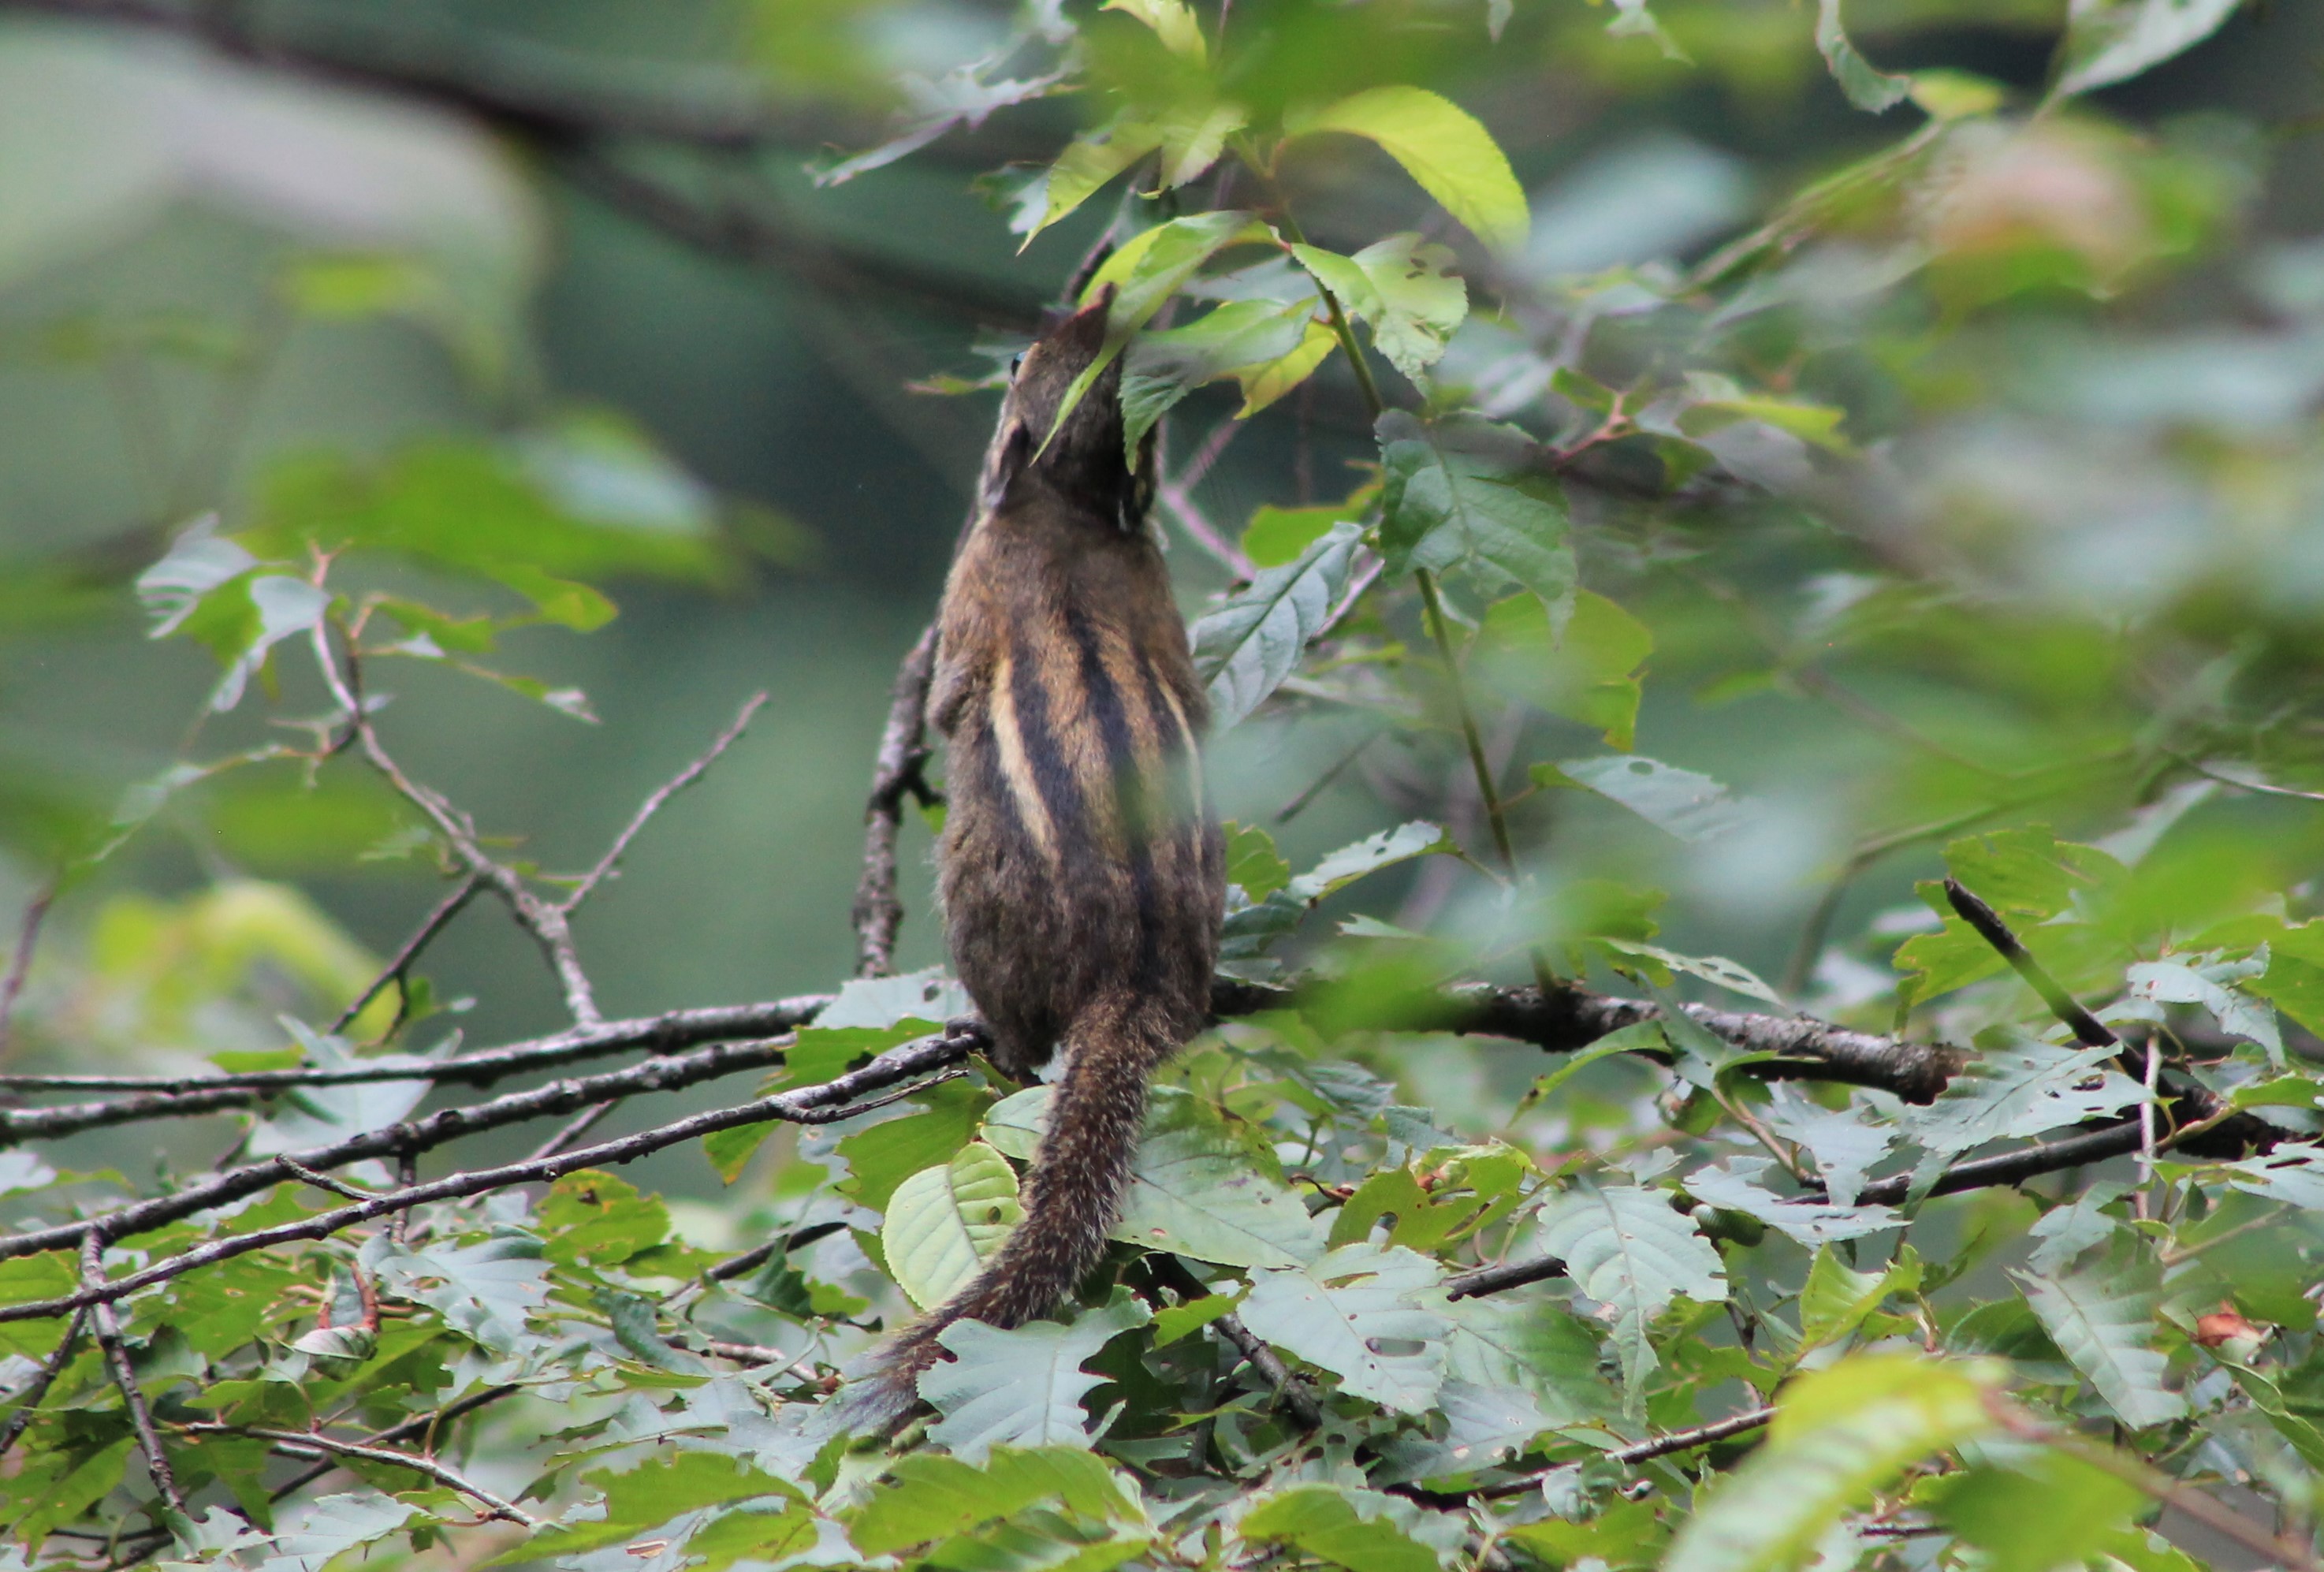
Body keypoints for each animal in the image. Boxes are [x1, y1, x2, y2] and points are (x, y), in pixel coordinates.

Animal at [862, 287, 1225, 1412]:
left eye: (1022, 358)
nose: (1100, 291)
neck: (1072, 510)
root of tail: (1138, 971)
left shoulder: (970, 589)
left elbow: (947, 694)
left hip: (978, 902)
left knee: (1015, 1027)